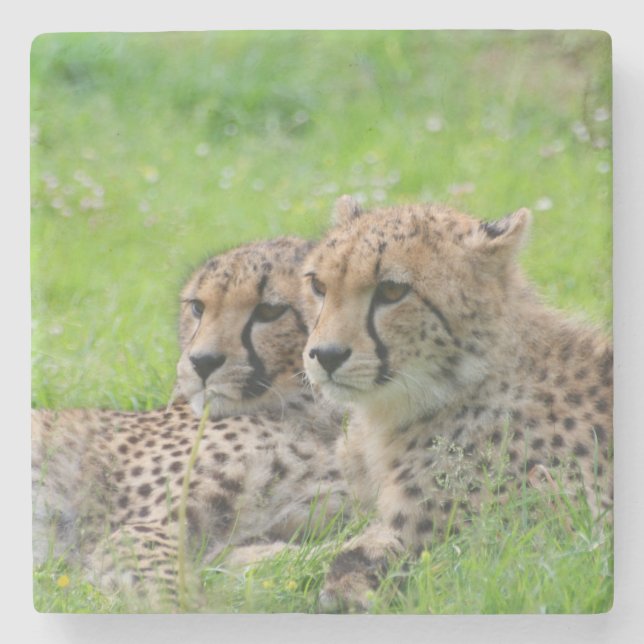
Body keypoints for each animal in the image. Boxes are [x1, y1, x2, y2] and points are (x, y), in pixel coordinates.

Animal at [32, 236, 348, 605]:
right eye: (198, 307)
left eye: (270, 311)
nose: (202, 362)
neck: (314, 414)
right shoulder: (141, 529)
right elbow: (173, 589)